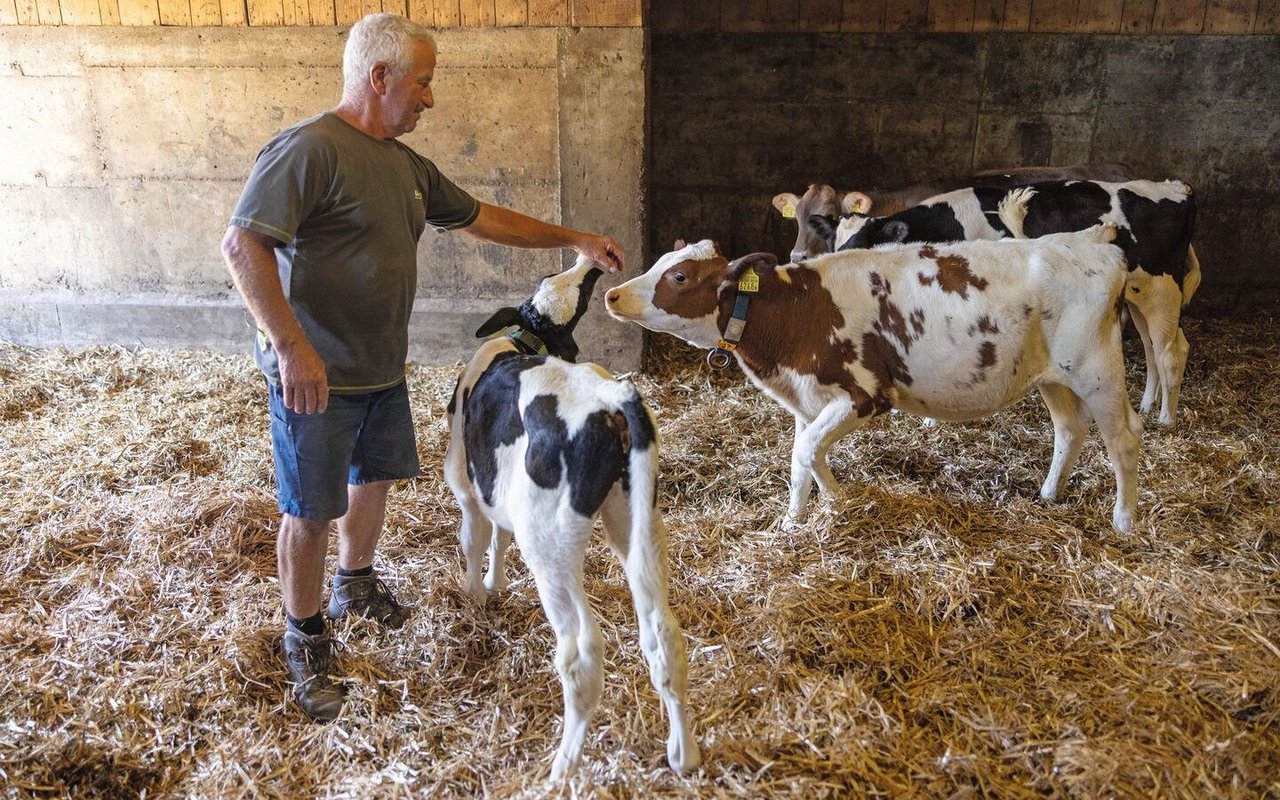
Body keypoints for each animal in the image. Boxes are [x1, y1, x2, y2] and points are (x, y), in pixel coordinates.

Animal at [440, 256, 701, 778]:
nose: (587, 261)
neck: (525, 340)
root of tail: (614, 403)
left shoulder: (465, 481)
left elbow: (474, 539)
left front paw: (476, 597)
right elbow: (498, 537)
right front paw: (496, 585)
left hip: (551, 546)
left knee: (580, 652)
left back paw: (562, 767)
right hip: (638, 523)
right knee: (663, 635)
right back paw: (683, 754)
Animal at [606, 232, 1141, 529]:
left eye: (678, 277)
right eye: (660, 262)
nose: (612, 295)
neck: (796, 311)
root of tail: (1104, 252)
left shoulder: (866, 393)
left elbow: (807, 451)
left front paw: (829, 503)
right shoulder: (806, 397)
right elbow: (801, 456)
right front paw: (798, 519)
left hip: (1099, 372)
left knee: (1124, 440)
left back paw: (1124, 520)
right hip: (1052, 376)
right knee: (1069, 429)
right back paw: (1049, 494)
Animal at [814, 179, 1203, 427]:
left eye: (860, 244)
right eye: (834, 242)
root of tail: (1177, 187)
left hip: (1162, 289)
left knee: (1172, 350)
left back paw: (1167, 418)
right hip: (1137, 295)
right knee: (1153, 347)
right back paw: (1148, 404)